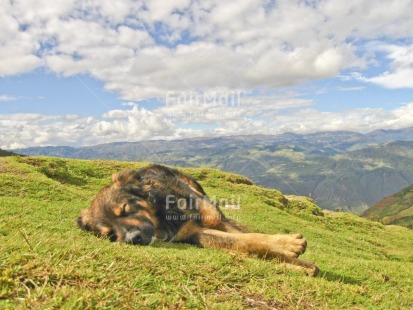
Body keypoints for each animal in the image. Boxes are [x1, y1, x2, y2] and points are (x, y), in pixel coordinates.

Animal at [77, 165, 318, 276]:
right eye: (110, 234)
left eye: (126, 209)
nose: (132, 239)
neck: (164, 214)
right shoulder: (196, 234)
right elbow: (248, 242)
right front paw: (291, 254)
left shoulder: (217, 221)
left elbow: (252, 237)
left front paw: (289, 249)